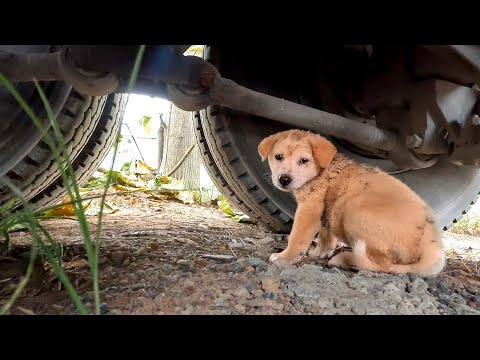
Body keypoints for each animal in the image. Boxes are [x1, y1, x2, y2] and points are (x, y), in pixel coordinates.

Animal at [258, 129, 446, 276]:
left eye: (304, 160)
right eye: (278, 157)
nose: (284, 179)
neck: (322, 171)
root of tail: (431, 244)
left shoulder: (309, 208)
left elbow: (297, 237)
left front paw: (285, 257)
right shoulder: (329, 206)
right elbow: (326, 234)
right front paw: (321, 252)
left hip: (354, 207)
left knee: (383, 265)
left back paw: (345, 259)